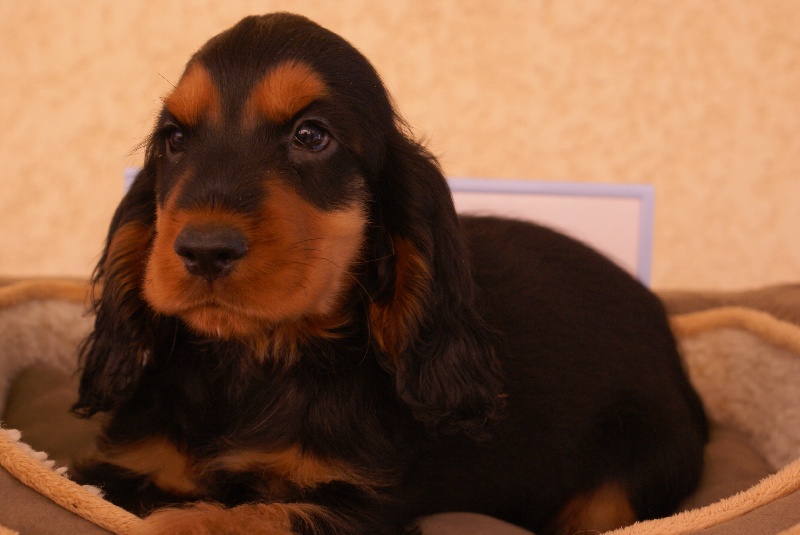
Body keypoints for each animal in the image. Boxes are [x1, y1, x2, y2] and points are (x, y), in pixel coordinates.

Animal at [73, 12, 708, 535]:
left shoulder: (365, 502)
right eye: (174, 139)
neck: (252, 361)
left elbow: (248, 517)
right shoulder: (129, 461)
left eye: (311, 135)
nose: (204, 250)